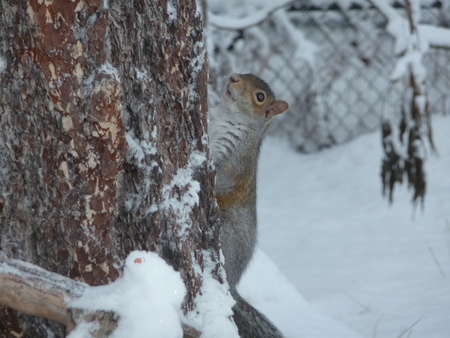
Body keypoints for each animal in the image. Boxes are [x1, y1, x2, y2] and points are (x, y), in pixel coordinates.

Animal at [208, 74, 288, 338]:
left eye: (260, 97)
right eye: (245, 73)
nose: (233, 77)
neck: (228, 115)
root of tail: (233, 283)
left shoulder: (237, 161)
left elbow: (221, 178)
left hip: (226, 233)